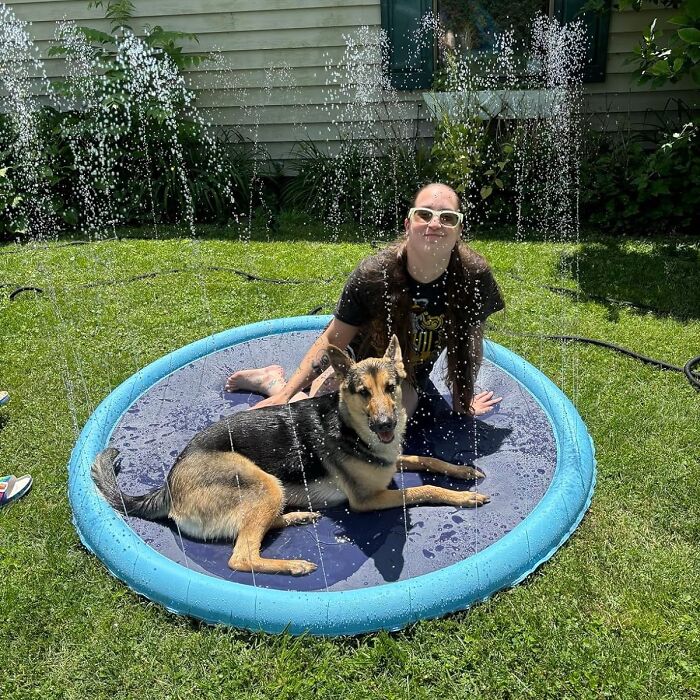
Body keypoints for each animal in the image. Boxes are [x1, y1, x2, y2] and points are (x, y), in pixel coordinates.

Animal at [90, 338, 490, 576]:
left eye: (391, 388)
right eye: (362, 392)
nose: (385, 424)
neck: (349, 426)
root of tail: (168, 482)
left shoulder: (393, 461)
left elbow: (426, 460)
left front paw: (462, 470)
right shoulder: (367, 500)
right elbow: (424, 491)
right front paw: (462, 497)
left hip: (270, 492)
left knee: (255, 529)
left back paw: (296, 516)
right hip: (261, 482)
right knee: (241, 556)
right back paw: (294, 564)